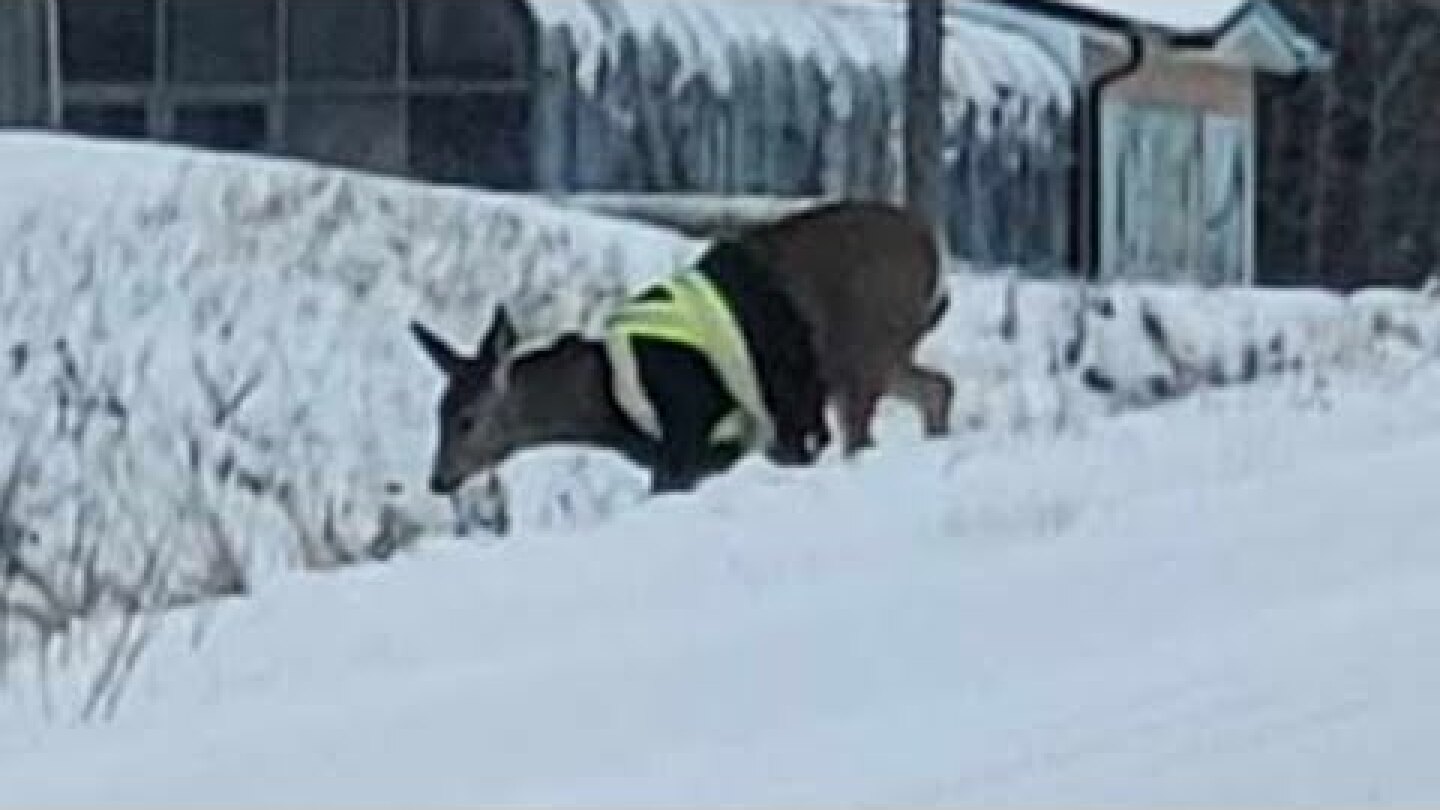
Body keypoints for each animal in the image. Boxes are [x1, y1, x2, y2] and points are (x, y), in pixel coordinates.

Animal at [411, 200, 954, 496]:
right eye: (438, 411)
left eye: (467, 419)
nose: (437, 479)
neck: (605, 399)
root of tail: (932, 247)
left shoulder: (690, 434)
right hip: (873, 356)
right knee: (937, 387)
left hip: (864, 346)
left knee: (866, 435)